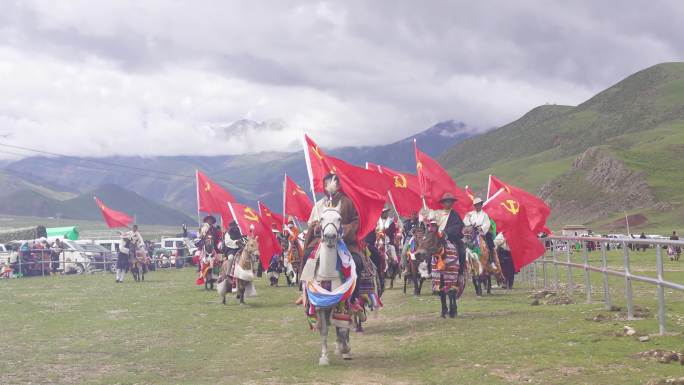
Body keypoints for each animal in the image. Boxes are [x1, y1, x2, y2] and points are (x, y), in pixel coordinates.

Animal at [304, 204, 358, 364]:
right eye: (321, 219)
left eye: (339, 218)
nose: (329, 236)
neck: (327, 273)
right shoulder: (320, 305)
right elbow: (324, 330)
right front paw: (324, 357)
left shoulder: (342, 302)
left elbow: (343, 327)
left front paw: (346, 349)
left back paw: (342, 348)